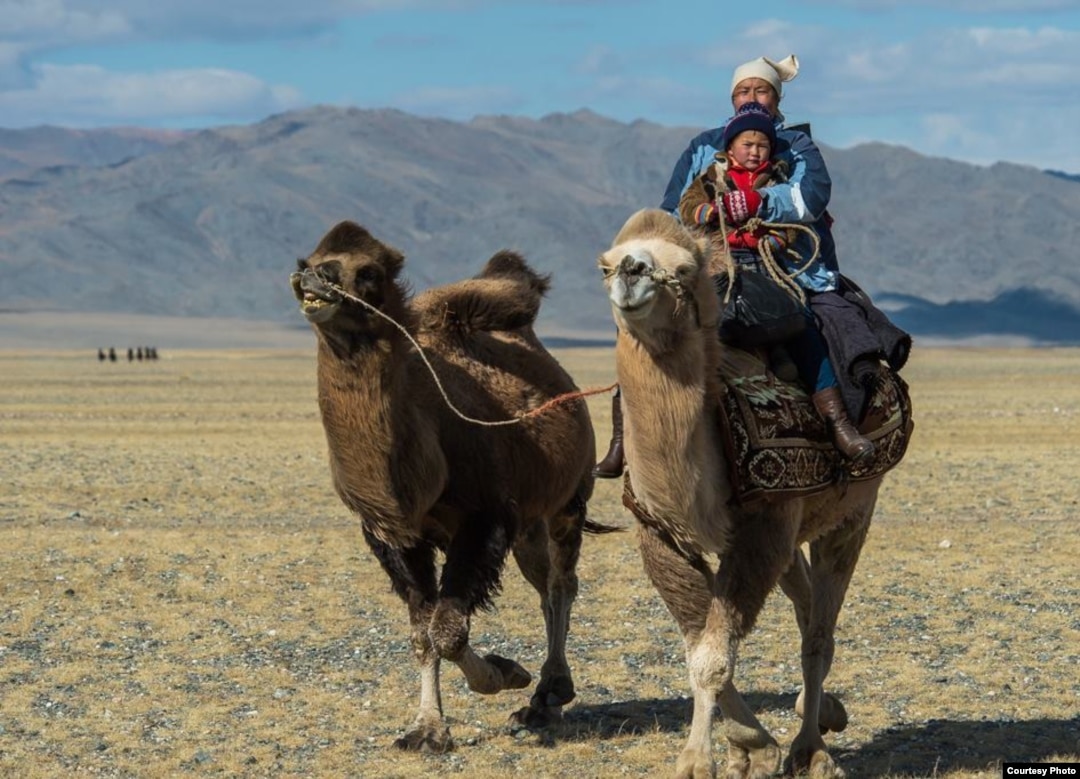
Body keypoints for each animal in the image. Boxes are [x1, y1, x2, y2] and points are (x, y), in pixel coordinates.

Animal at [289, 220, 609, 751]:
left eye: (369, 271)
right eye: (309, 260)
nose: (317, 278)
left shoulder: (485, 519)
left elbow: (448, 630)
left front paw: (504, 673)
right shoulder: (392, 535)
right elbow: (423, 633)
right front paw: (427, 728)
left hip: (569, 499)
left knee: (562, 584)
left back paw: (550, 692)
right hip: (529, 525)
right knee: (544, 585)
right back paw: (542, 701)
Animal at [596, 208, 907, 777]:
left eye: (684, 269)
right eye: (605, 264)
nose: (631, 271)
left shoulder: (764, 524)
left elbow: (713, 657)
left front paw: (700, 761)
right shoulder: (660, 532)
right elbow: (698, 642)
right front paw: (750, 746)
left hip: (854, 511)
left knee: (818, 635)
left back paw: (813, 749)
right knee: (805, 606)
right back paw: (823, 712)